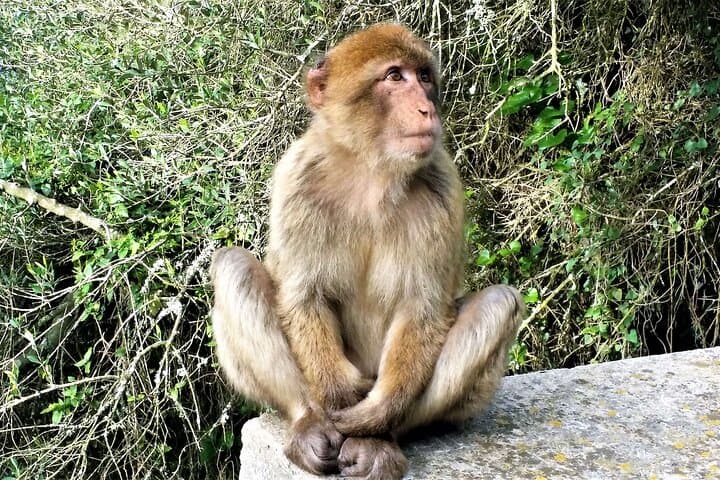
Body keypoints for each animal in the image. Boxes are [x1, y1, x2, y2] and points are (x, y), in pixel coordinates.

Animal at [210, 23, 525, 480]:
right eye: (394, 77)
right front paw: (338, 394)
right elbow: (304, 296)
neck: (372, 172)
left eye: (423, 77)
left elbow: (422, 309)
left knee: (499, 302)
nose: (426, 110)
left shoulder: (443, 188)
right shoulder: (296, 181)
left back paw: (376, 436)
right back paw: (309, 421)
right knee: (232, 266)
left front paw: (375, 416)